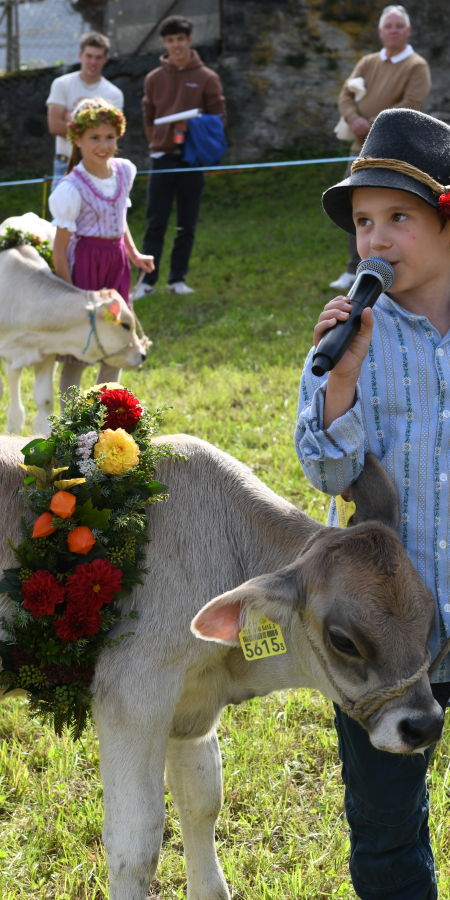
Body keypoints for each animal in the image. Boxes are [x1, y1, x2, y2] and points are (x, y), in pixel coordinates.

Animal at [0, 436, 442, 900]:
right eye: (343, 640)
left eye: (431, 618)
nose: (425, 725)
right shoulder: (132, 695)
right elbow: (134, 844)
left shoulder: (190, 709)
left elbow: (202, 802)